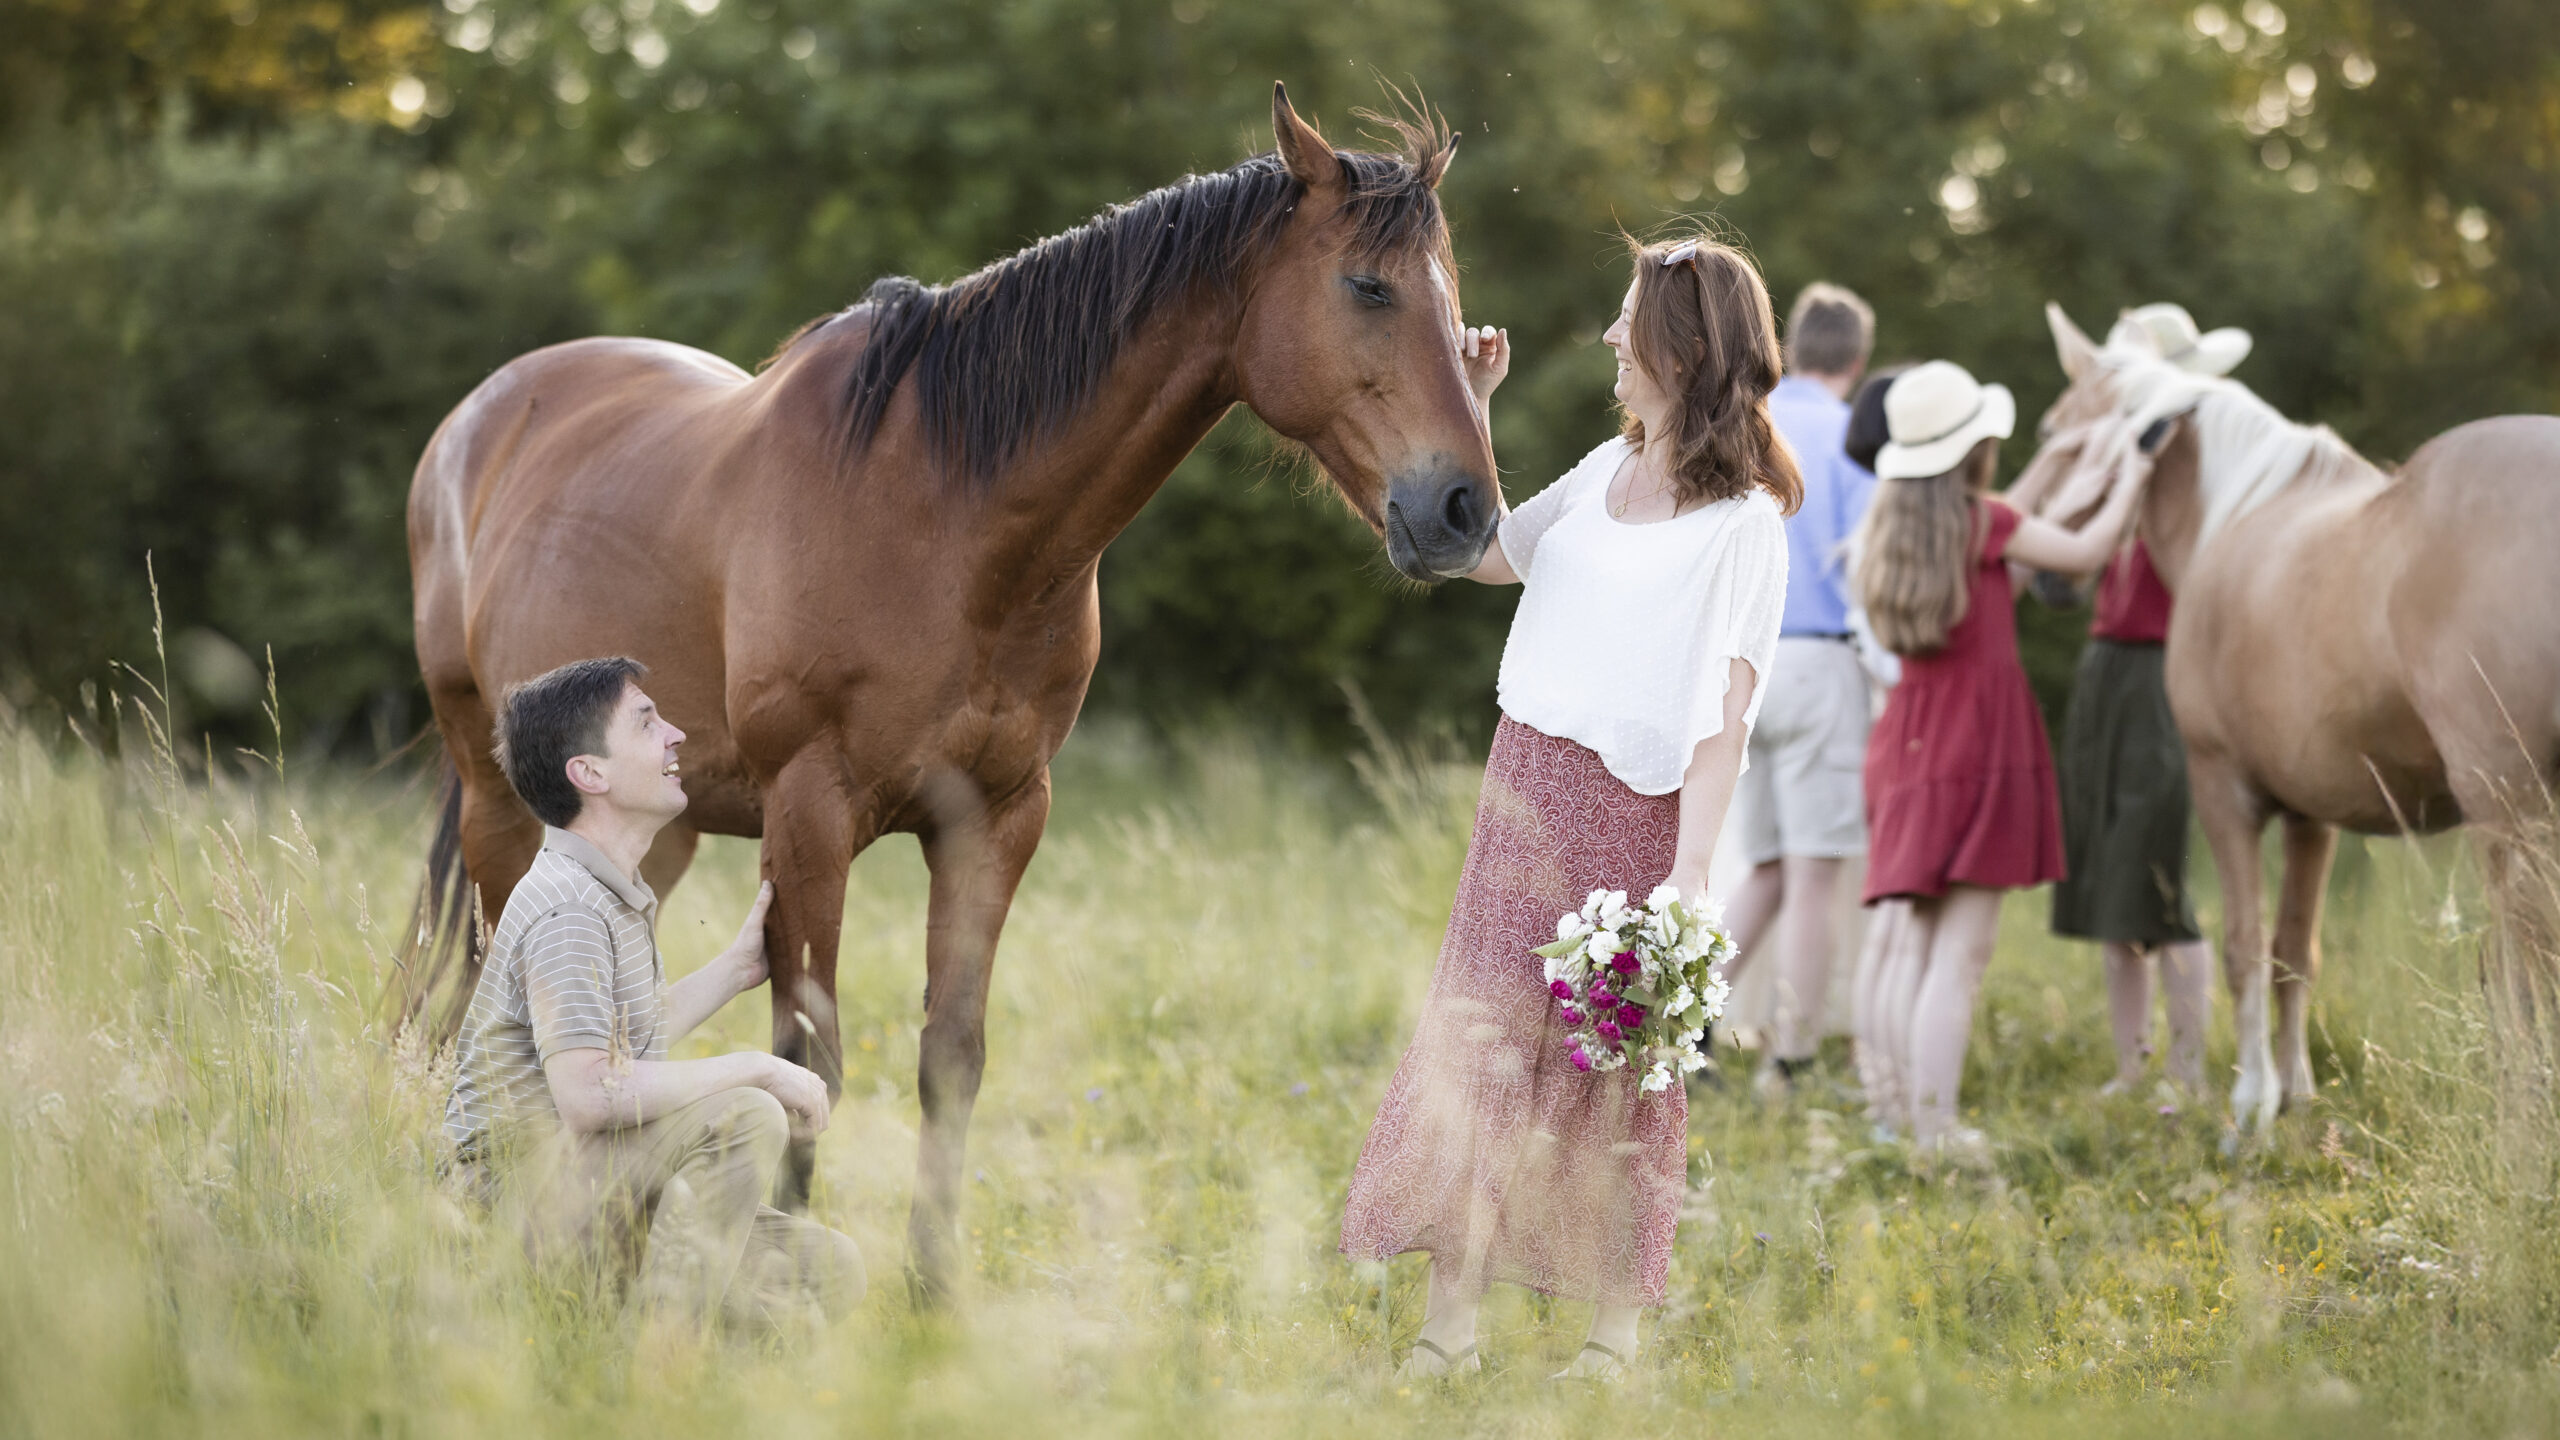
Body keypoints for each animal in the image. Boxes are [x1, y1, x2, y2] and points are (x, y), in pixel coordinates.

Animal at [389, 89, 1495, 1291]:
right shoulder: (812, 814)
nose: (1465, 511)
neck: (950, 521)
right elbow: (808, 1057)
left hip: (664, 832)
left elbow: (949, 1054)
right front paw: (784, 1265)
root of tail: (476, 420)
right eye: (1369, 287)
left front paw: (933, 1286)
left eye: (1456, 304)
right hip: (499, 803)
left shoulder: (997, 818)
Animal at [2017, 302, 2560, 1127]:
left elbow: (2244, 948)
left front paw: (2250, 1104)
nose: (2037, 571)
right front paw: (2296, 1092)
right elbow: (2296, 954)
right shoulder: (2313, 813)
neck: (2236, 514)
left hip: (2511, 812)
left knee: (2528, 968)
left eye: (2054, 431)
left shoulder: (2223, 788)